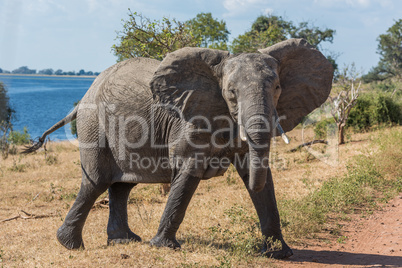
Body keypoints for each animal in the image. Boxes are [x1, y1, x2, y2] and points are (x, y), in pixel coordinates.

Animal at [25, 38, 332, 260]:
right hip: (93, 124)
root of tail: (83, 97)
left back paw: (124, 240)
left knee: (121, 186)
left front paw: (279, 254)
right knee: (96, 182)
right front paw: (163, 247)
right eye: (231, 93)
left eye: (278, 87)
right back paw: (71, 246)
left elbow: (258, 176)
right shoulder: (190, 121)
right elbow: (188, 173)